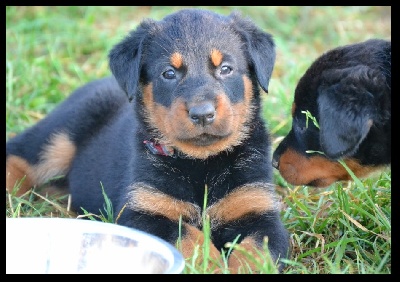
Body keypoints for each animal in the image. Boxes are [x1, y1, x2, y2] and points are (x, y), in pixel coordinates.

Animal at [5, 8, 288, 274]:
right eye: (169, 73)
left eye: (226, 69)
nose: (202, 113)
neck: (201, 163)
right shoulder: (142, 213)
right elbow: (186, 234)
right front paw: (210, 263)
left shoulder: (259, 211)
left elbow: (256, 251)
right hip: (61, 134)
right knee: (21, 154)